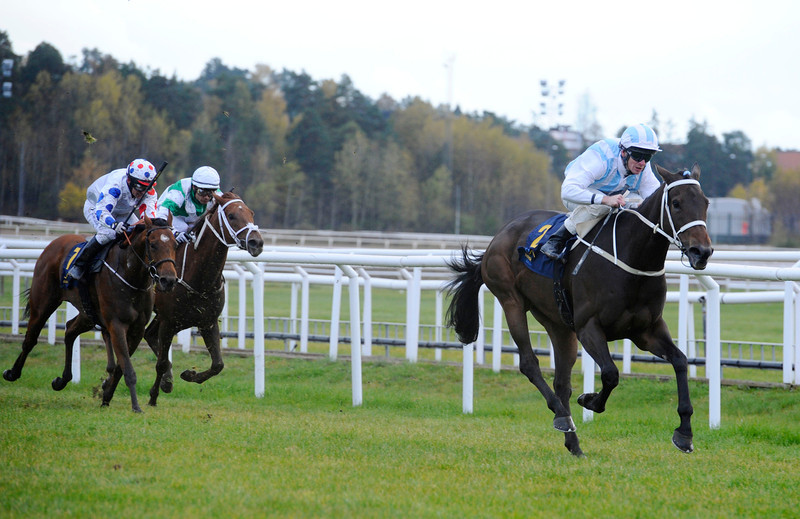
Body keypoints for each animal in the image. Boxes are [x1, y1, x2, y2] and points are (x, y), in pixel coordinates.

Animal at [2, 214, 178, 410]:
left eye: (175, 244)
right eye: (153, 244)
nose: (169, 280)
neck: (131, 277)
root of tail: (55, 242)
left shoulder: (137, 329)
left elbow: (120, 367)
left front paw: (106, 397)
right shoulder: (116, 325)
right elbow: (128, 369)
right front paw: (136, 407)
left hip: (88, 313)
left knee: (70, 330)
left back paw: (61, 380)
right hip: (43, 303)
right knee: (30, 339)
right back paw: (12, 373)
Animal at [142, 193, 264, 408]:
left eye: (251, 213)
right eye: (231, 215)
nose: (256, 242)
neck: (200, 280)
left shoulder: (208, 322)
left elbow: (218, 365)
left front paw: (188, 375)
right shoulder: (169, 322)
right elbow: (161, 362)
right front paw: (154, 395)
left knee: (149, 334)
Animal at [444, 165, 712, 458]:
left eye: (706, 203)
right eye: (676, 203)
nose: (702, 251)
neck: (632, 260)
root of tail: (499, 236)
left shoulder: (646, 331)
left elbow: (680, 361)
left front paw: (684, 434)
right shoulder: (589, 328)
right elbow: (610, 374)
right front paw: (591, 400)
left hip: (558, 323)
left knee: (562, 382)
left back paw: (573, 442)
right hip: (510, 300)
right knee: (529, 364)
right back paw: (562, 416)